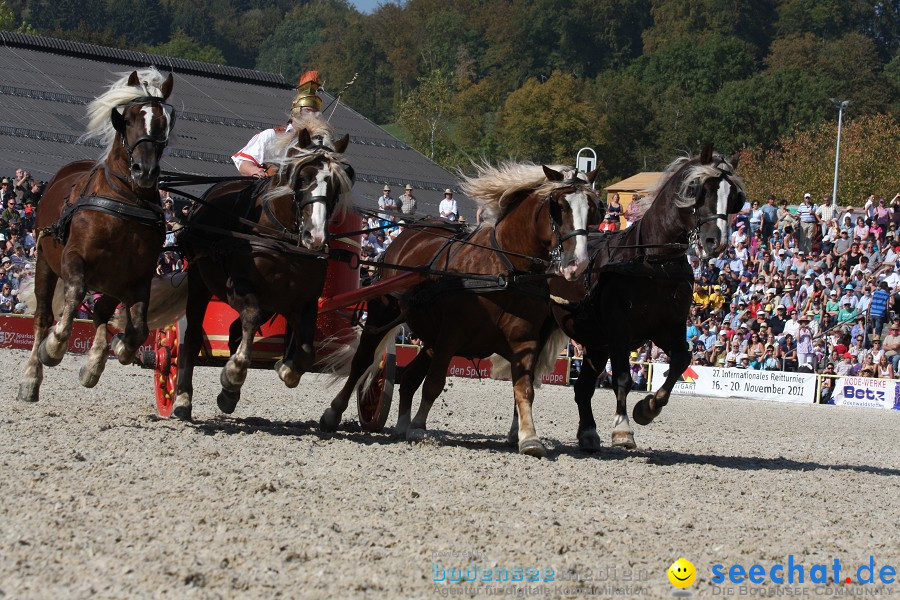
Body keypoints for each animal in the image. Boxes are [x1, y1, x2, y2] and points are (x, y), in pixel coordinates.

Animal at [17, 68, 175, 406]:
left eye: (165, 121)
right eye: (128, 118)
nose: (145, 171)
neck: (125, 201)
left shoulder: (138, 275)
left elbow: (139, 328)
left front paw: (118, 347)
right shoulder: (73, 258)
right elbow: (75, 295)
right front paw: (54, 346)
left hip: (112, 280)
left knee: (102, 311)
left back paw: (94, 364)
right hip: (46, 264)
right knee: (42, 316)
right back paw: (32, 376)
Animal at [167, 115, 354, 420]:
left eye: (336, 184)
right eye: (302, 178)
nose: (315, 236)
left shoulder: (304, 301)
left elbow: (305, 353)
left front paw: (284, 368)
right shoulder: (238, 288)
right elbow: (250, 320)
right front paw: (233, 373)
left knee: (235, 330)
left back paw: (228, 396)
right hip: (199, 282)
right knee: (194, 336)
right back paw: (183, 399)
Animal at [322, 162, 596, 458]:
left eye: (592, 209)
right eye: (559, 206)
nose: (578, 264)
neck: (504, 270)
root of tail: (408, 234)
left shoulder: (525, 342)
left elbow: (524, 389)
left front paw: (529, 437)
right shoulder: (451, 334)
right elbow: (434, 383)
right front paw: (418, 427)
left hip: (430, 336)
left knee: (410, 377)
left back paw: (402, 424)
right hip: (385, 313)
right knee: (362, 361)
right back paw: (334, 413)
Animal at [548, 146, 744, 454]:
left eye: (734, 196)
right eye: (697, 189)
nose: (716, 241)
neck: (653, 263)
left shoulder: (666, 327)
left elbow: (681, 359)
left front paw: (648, 407)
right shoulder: (618, 328)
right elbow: (623, 378)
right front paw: (623, 429)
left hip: (595, 342)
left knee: (583, 388)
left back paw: (588, 433)